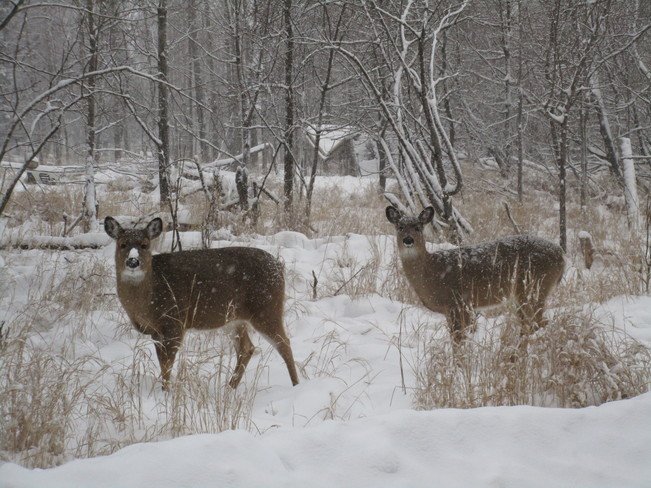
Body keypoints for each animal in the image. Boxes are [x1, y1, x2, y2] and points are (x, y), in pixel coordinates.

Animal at [104, 216, 299, 390]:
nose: (133, 261)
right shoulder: (156, 331)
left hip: (266, 308)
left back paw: (296, 385)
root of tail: (279, 268)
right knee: (247, 348)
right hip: (235, 318)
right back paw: (229, 388)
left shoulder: (174, 321)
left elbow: (167, 364)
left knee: (284, 343)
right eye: (122, 244)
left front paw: (166, 393)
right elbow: (162, 363)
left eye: (145, 244)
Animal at [386, 206, 565, 345]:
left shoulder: (457, 303)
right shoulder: (461, 308)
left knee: (536, 324)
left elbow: (458, 342)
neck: (433, 272)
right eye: (400, 227)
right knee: (534, 324)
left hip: (534, 289)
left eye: (418, 227)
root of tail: (562, 256)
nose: (408, 240)